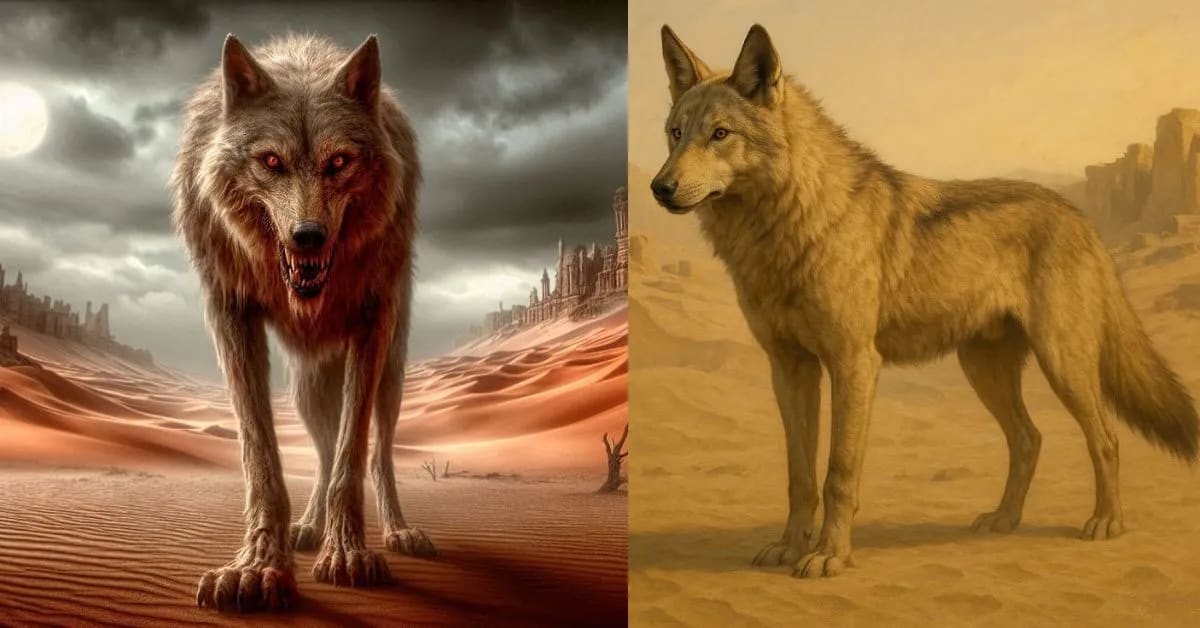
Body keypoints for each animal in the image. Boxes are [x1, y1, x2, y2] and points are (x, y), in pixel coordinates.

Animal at [171, 33, 436, 611]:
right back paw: (309, 529)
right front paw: (255, 569)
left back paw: (400, 532)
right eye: (271, 160)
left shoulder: (372, 321)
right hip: (308, 390)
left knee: (378, 452)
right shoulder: (230, 313)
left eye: (339, 161)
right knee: (320, 448)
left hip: (390, 375)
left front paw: (349, 556)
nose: (308, 236)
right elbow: (261, 459)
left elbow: (352, 458)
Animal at [652, 24, 1199, 579]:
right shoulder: (790, 369)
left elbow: (838, 472)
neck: (788, 226)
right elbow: (799, 474)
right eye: (675, 134)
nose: (659, 188)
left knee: (1105, 438)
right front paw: (789, 548)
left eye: (720, 134)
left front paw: (830, 555)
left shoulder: (854, 364)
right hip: (984, 371)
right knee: (1030, 439)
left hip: (1062, 365)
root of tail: (1079, 215)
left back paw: (1107, 523)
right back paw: (1003, 520)